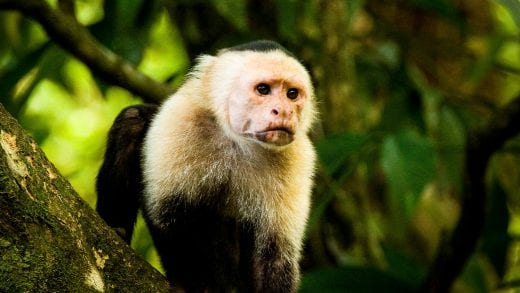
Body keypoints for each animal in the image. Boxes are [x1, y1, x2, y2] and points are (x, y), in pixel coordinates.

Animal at [96, 40, 316, 292]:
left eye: (292, 94)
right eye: (263, 89)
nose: (285, 111)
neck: (239, 142)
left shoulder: (298, 158)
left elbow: (276, 255)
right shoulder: (181, 120)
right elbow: (168, 214)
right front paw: (201, 283)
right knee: (132, 120)